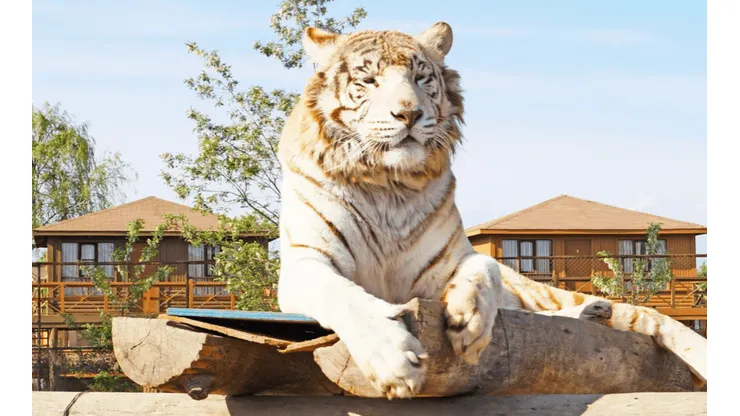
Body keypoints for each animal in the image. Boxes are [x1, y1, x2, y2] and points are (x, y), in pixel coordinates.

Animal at [276, 22, 707, 399]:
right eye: (368, 80)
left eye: (420, 77)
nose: (409, 114)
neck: (389, 184)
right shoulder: (306, 263)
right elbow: (344, 295)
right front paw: (392, 358)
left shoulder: (455, 259)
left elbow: (484, 268)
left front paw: (469, 319)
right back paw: (591, 312)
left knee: (649, 318)